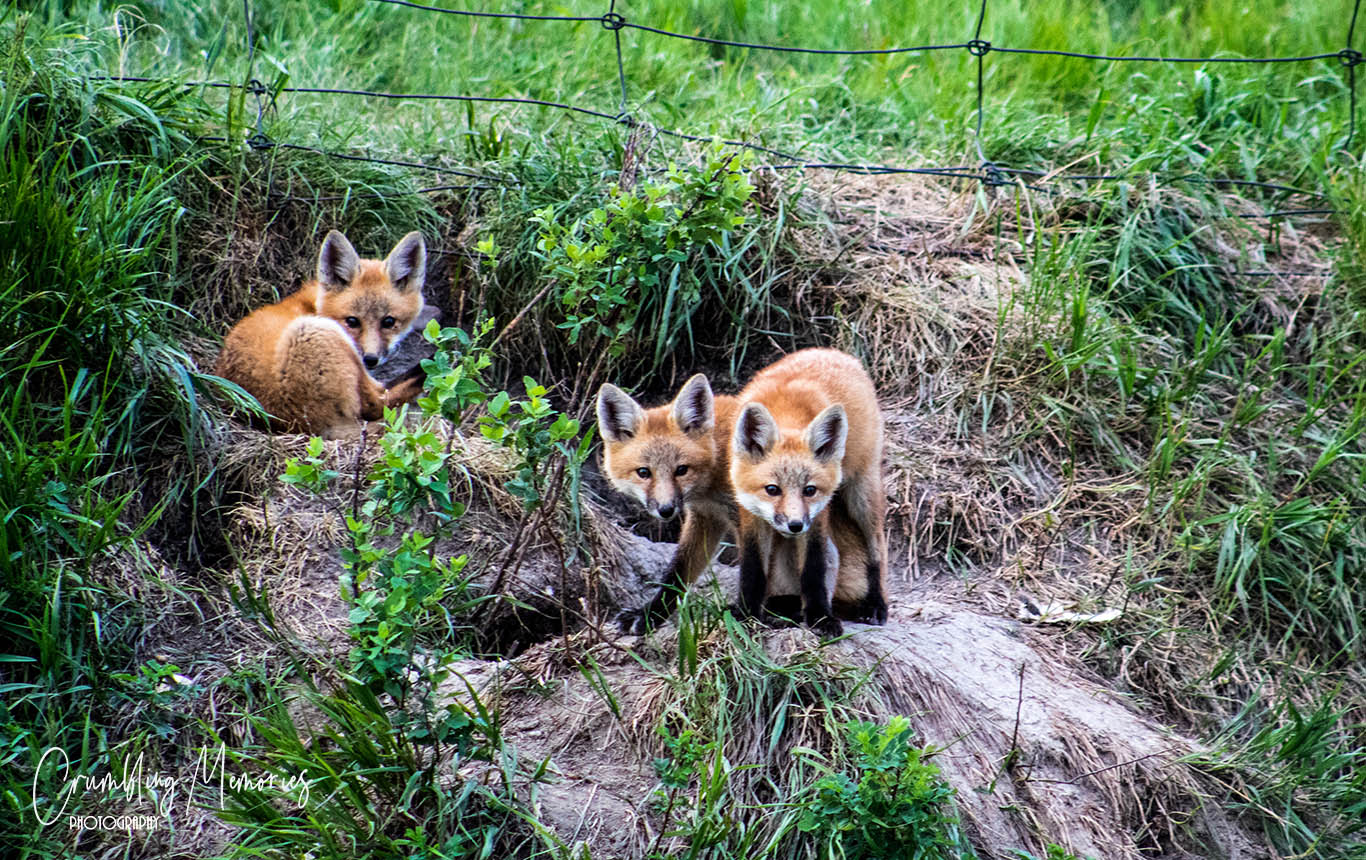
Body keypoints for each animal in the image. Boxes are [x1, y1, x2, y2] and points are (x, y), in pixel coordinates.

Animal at [216, 229, 428, 440]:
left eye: (388, 322)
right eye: (352, 321)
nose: (370, 359)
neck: (316, 305)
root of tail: (312, 424)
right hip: (315, 332)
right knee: (377, 403)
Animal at [730, 348, 888, 638]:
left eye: (810, 490)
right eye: (772, 490)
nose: (795, 525)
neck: (786, 412)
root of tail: (835, 352)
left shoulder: (818, 515)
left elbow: (814, 569)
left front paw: (821, 617)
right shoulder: (749, 511)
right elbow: (752, 568)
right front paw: (746, 613)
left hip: (862, 496)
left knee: (877, 549)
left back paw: (875, 604)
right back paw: (784, 606)